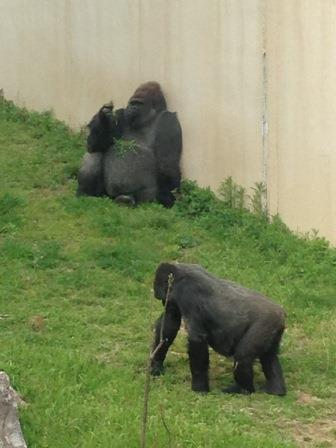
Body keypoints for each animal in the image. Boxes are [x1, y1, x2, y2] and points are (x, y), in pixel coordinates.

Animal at [151, 262, 288, 396]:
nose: (164, 302)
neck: (180, 273)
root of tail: (282, 314)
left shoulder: (187, 293)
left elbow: (197, 339)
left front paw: (199, 388)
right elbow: (169, 324)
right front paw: (156, 364)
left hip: (266, 323)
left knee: (243, 357)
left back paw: (243, 389)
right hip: (273, 329)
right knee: (269, 356)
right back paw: (276, 390)